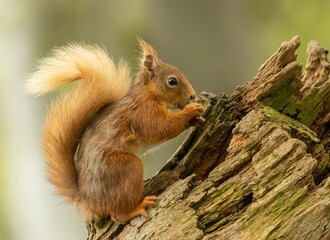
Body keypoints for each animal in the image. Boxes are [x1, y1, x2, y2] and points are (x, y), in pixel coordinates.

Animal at [25, 39, 205, 223]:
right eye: (172, 81)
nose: (192, 96)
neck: (148, 93)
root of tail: (88, 201)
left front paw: (197, 116)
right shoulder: (142, 113)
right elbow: (160, 128)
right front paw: (190, 111)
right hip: (126, 168)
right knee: (118, 214)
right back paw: (136, 208)